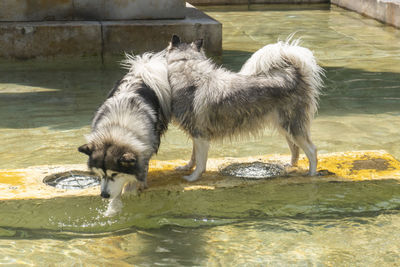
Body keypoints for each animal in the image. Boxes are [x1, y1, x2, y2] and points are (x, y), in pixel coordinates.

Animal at [167, 35, 324, 182]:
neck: (186, 64)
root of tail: (295, 75)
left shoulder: (200, 135)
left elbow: (200, 163)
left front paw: (192, 178)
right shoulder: (196, 134)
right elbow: (193, 157)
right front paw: (186, 167)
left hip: (293, 126)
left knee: (312, 150)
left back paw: (312, 174)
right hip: (284, 126)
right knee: (295, 148)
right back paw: (291, 166)